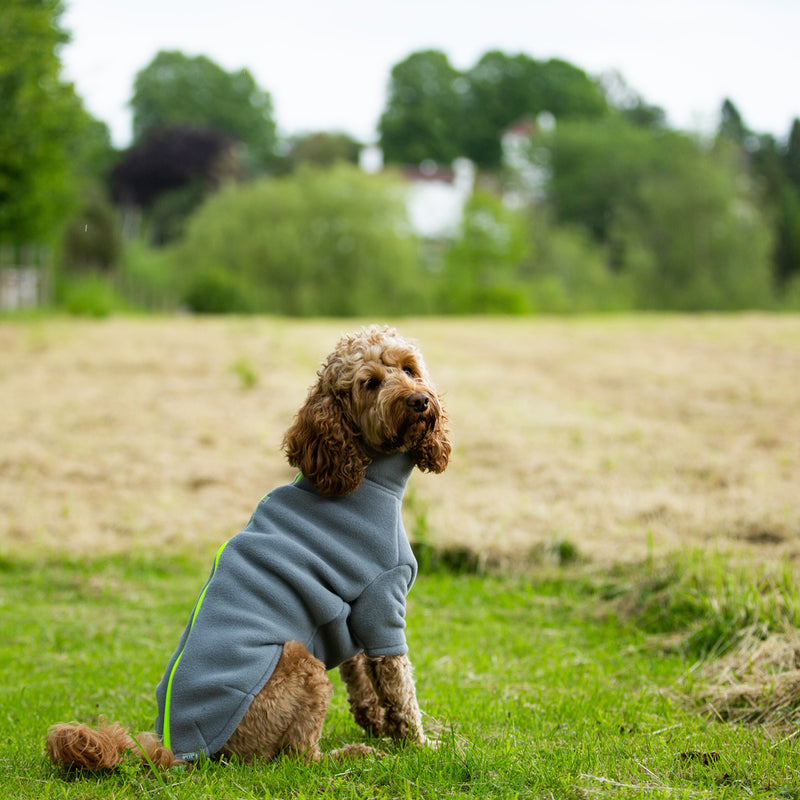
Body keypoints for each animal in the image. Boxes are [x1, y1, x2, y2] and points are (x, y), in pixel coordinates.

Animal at [48, 324, 450, 768]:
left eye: (409, 369)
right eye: (370, 383)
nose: (419, 400)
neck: (362, 473)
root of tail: (178, 749)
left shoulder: (352, 615)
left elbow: (360, 677)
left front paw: (379, 724)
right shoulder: (383, 603)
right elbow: (399, 687)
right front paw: (418, 744)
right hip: (301, 662)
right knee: (300, 755)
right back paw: (353, 754)